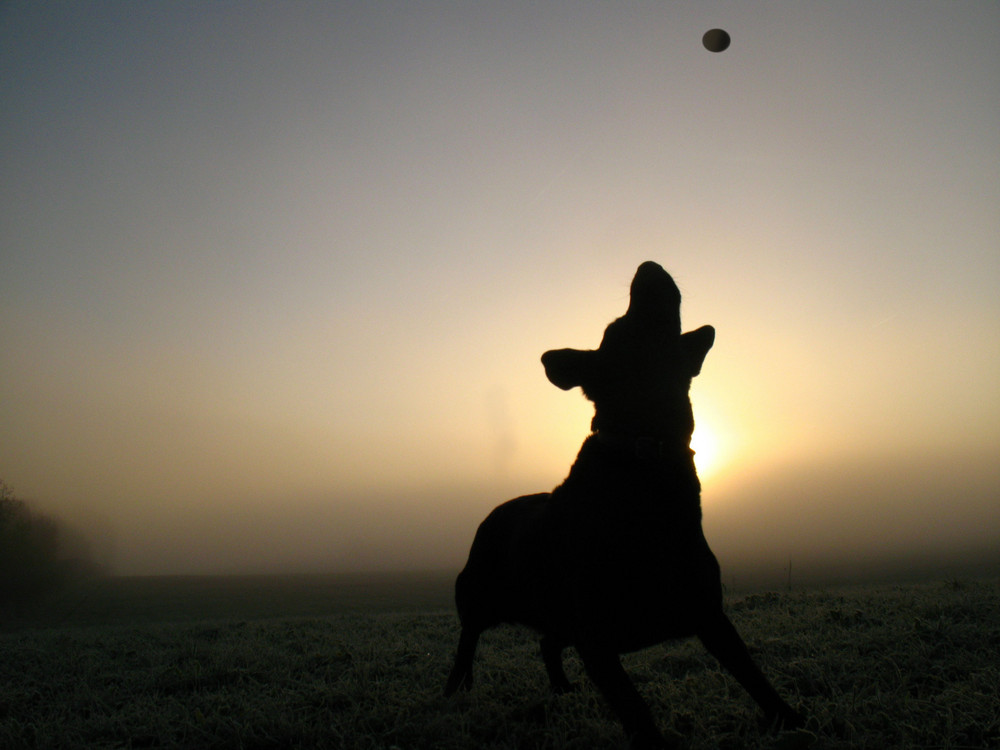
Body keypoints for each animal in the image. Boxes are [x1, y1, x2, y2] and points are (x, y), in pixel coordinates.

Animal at [446, 262, 804, 748]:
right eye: (621, 327)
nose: (647, 266)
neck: (645, 458)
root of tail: (494, 513)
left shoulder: (709, 615)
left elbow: (754, 676)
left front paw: (790, 718)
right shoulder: (597, 640)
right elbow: (637, 713)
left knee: (547, 643)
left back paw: (562, 688)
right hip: (480, 596)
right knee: (469, 639)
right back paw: (457, 687)